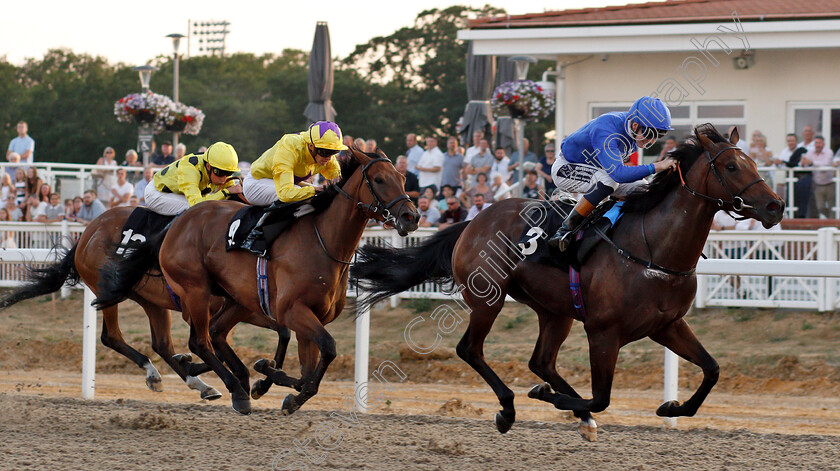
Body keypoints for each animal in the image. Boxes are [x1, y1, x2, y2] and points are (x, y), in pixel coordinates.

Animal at [0, 208, 292, 400]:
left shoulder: (249, 307)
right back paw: (158, 374)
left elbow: (282, 331)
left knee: (161, 343)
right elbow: (208, 342)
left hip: (152, 301)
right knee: (111, 337)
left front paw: (266, 378)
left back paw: (198, 384)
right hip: (108, 290)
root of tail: (86, 233)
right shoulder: (202, 307)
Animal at [96, 148, 420, 416]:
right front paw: (273, 383)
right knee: (200, 340)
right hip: (195, 291)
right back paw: (235, 391)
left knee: (214, 333)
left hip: (235, 298)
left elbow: (308, 370)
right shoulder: (292, 310)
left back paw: (230, 377)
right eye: (379, 179)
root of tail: (176, 223)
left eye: (403, 178)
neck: (324, 241)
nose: (412, 216)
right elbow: (327, 349)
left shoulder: (311, 317)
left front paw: (275, 384)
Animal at [352, 126, 784, 442]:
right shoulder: (603, 332)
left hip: (554, 311)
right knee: (470, 349)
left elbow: (711, 369)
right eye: (732, 167)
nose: (775, 206)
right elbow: (602, 396)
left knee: (540, 361)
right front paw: (550, 397)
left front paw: (671, 408)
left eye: (753, 163)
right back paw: (510, 408)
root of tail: (473, 221)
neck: (653, 248)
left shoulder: (668, 325)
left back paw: (572, 412)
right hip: (488, 297)